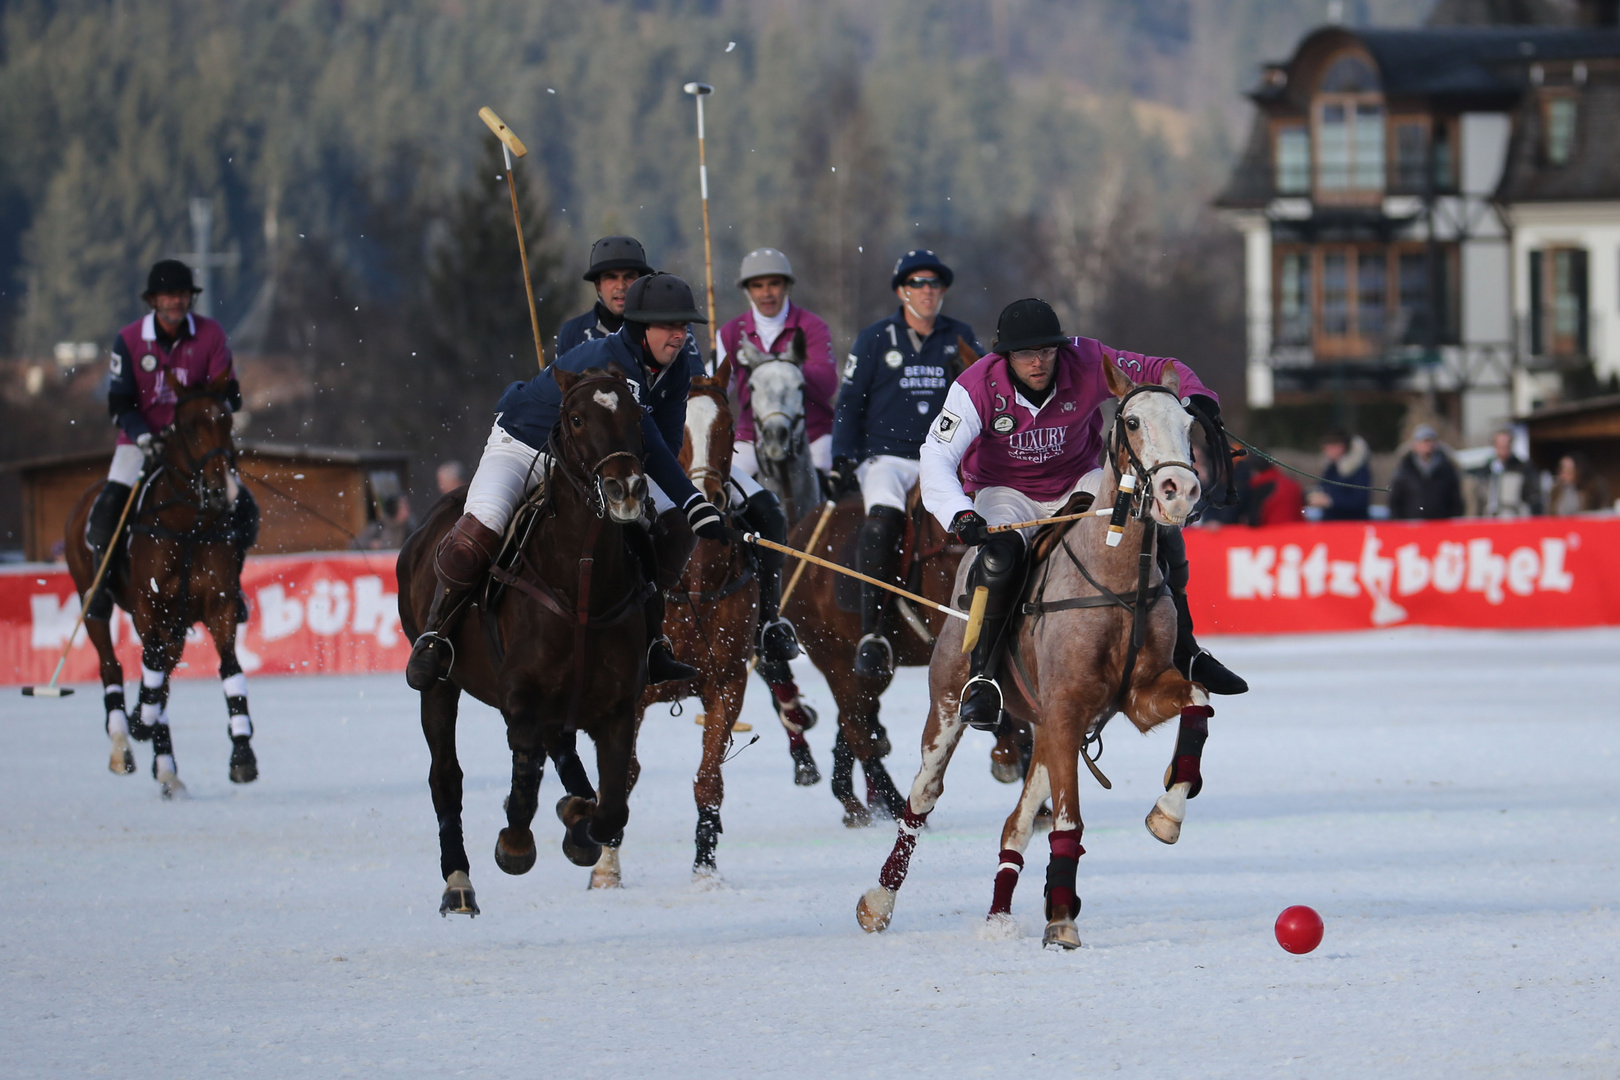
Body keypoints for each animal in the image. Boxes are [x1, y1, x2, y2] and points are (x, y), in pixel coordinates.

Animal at [63, 369, 254, 793]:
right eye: (187, 426)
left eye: (226, 420)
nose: (220, 491)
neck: (187, 527)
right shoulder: (148, 607)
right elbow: (150, 666)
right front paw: (139, 723)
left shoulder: (220, 606)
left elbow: (229, 668)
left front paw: (242, 754)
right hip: (94, 600)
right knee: (112, 666)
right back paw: (125, 741)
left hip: (177, 624)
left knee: (162, 676)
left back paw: (163, 762)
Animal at [398, 367, 651, 919]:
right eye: (575, 417)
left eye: (636, 412)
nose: (625, 489)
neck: (581, 583)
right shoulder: (520, 693)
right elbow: (524, 769)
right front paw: (515, 843)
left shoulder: (620, 706)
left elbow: (612, 808)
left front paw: (581, 825)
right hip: (440, 684)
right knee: (445, 773)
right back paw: (458, 882)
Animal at [861, 361, 1218, 945]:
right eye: (1133, 422)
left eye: (1190, 427)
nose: (1179, 491)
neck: (1117, 577)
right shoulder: (1068, 707)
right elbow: (1069, 820)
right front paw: (1063, 922)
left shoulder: (1131, 699)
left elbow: (1198, 698)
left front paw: (1168, 812)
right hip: (951, 705)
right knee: (923, 795)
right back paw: (878, 901)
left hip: (1049, 726)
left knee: (1017, 824)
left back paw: (999, 918)